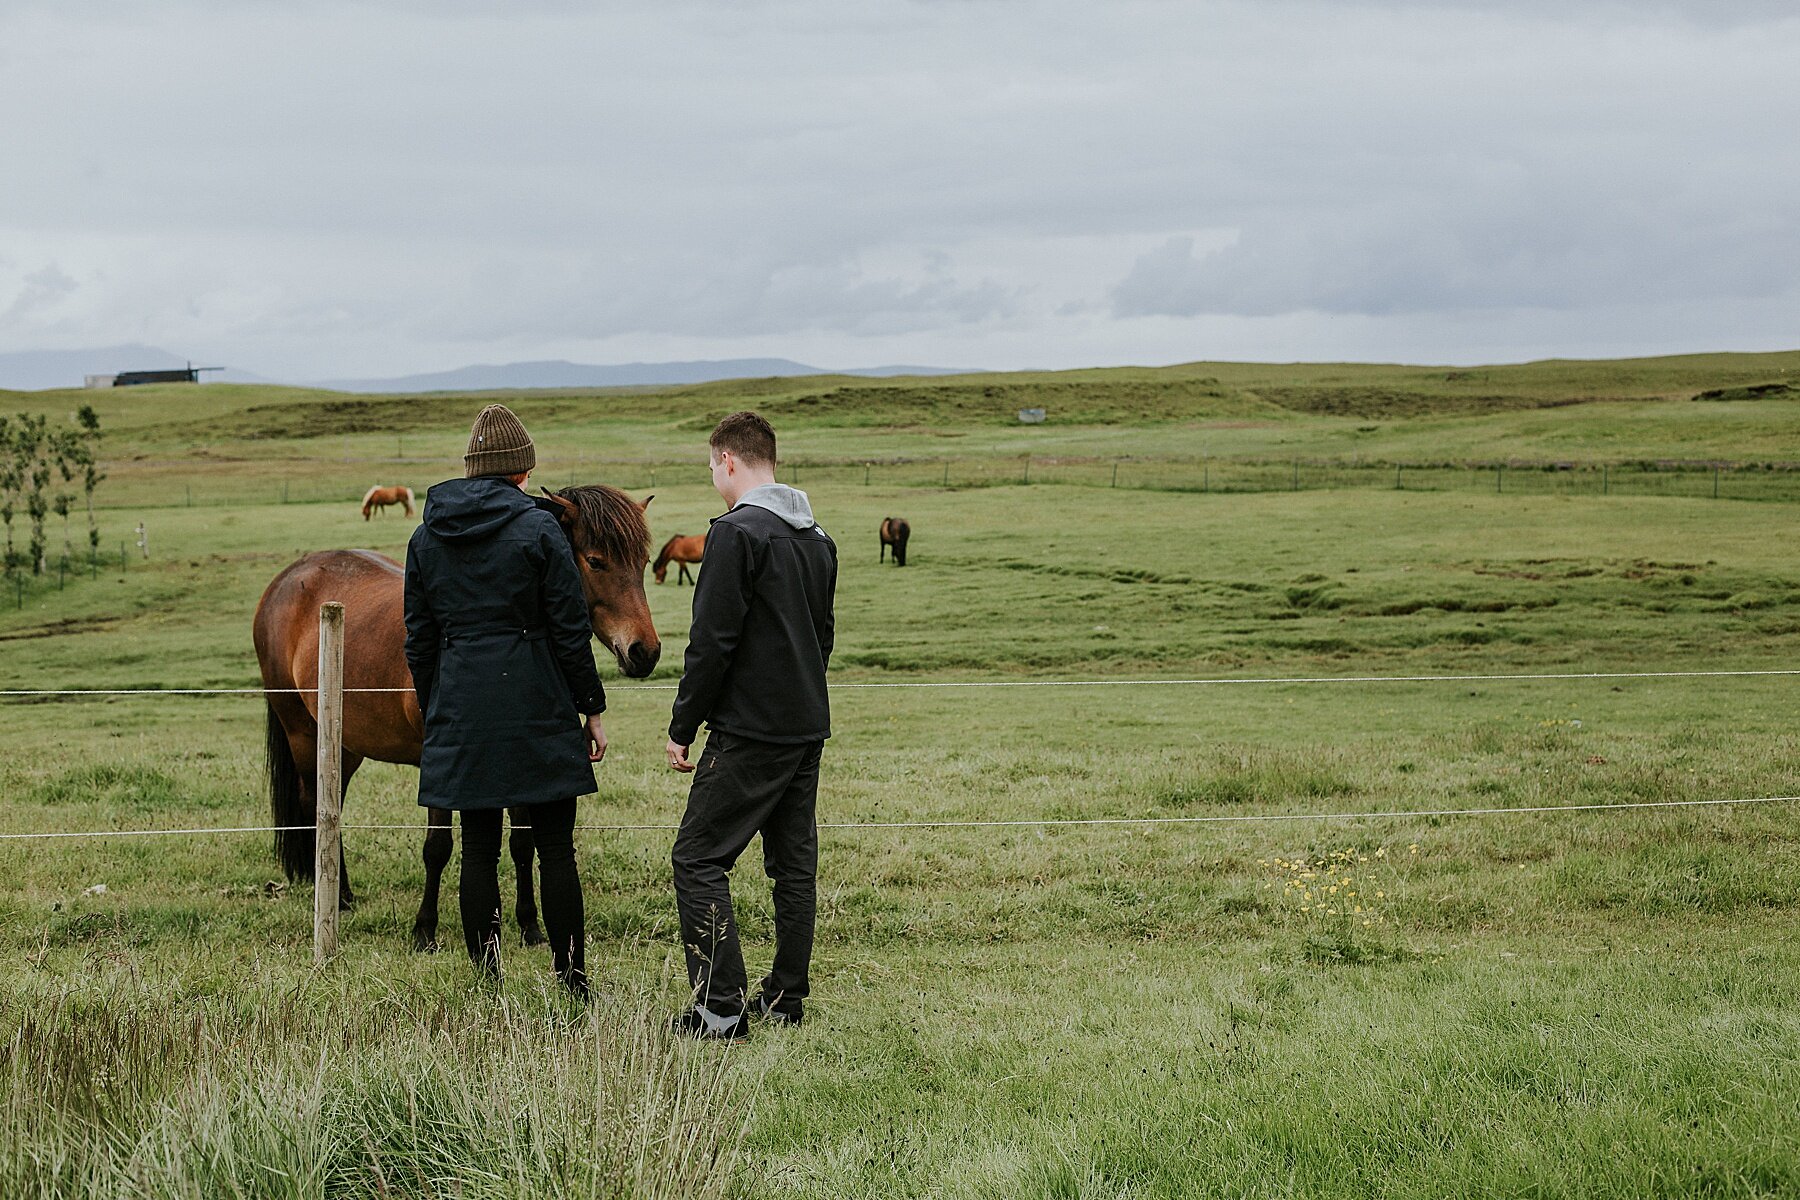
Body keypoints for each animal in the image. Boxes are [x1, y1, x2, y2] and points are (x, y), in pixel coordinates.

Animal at [246, 485, 655, 949]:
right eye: (596, 561)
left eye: (642, 563)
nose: (645, 651)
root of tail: (285, 582)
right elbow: (437, 847)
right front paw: (425, 928)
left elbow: (522, 844)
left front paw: (529, 924)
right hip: (302, 732)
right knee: (314, 806)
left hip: (343, 745)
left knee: (331, 809)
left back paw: (343, 895)